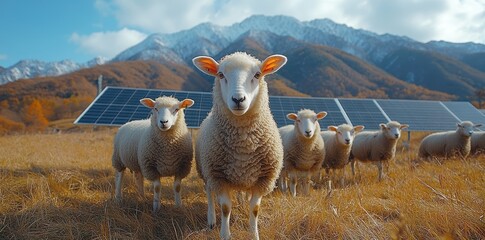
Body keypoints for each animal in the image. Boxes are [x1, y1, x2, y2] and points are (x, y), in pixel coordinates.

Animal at [191, 51, 286, 239]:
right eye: (221, 75)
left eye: (257, 75)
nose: (238, 99)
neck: (243, 143)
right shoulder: (218, 176)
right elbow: (225, 208)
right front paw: (225, 234)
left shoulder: (263, 179)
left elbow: (254, 209)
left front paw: (254, 234)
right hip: (205, 170)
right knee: (209, 193)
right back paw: (211, 220)